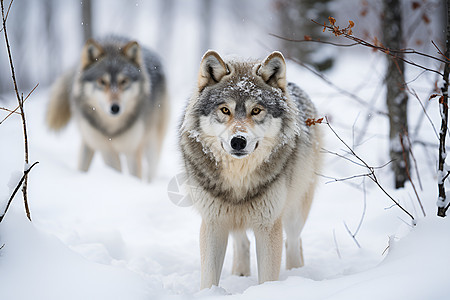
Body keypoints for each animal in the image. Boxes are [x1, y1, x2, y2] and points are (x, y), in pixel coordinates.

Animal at [46, 35, 169, 180]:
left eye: (124, 81)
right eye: (102, 82)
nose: (115, 108)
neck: (112, 129)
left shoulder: (133, 150)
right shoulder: (107, 150)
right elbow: (115, 170)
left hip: (152, 143)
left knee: (151, 169)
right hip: (89, 139)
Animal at [179, 50, 324, 290]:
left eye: (256, 110)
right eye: (225, 110)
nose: (238, 141)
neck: (238, 179)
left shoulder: (268, 225)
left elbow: (268, 275)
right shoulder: (213, 223)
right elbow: (209, 277)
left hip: (295, 211)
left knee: (294, 243)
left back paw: (296, 276)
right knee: (242, 241)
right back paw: (240, 274)